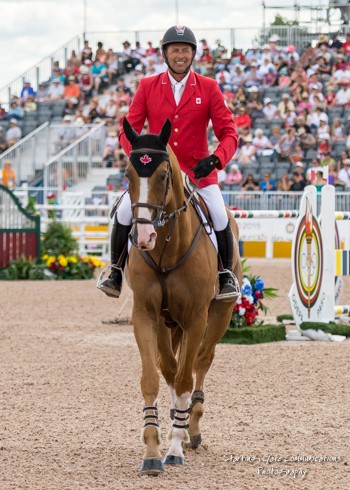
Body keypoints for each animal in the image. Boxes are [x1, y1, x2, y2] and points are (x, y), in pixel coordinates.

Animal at [121, 117, 242, 472]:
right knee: (171, 368)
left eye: (163, 175)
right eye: (128, 175)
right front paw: (151, 450)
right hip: (169, 324)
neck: (167, 247)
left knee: (201, 362)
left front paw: (174, 447)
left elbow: (186, 378)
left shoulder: (195, 319)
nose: (143, 236)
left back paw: (193, 427)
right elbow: (155, 376)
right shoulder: (147, 316)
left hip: (218, 316)